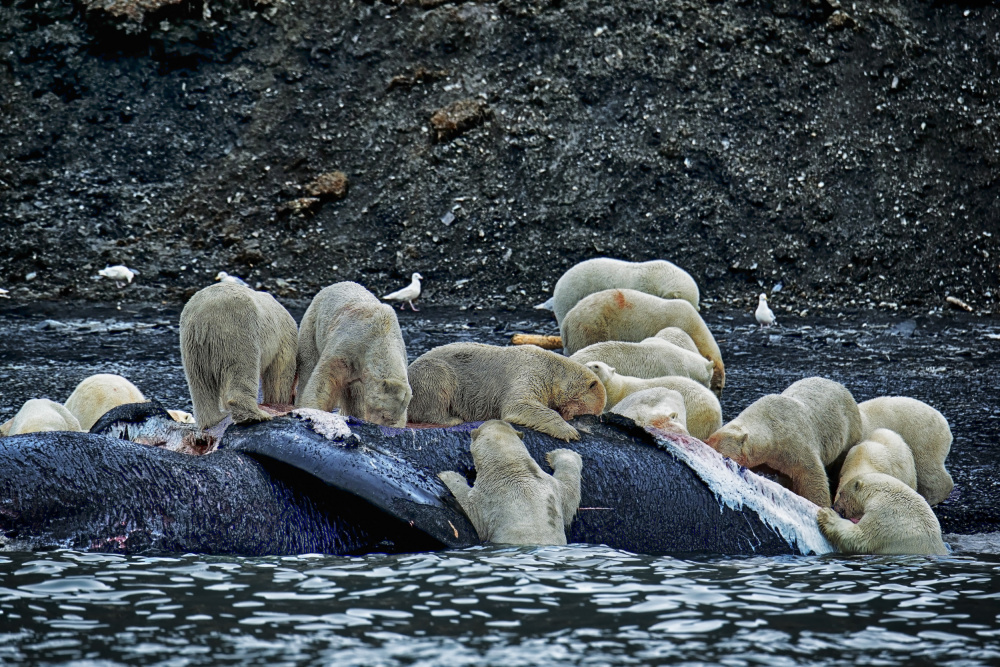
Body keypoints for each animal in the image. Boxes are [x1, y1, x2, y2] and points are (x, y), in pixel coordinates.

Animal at [179, 282, 298, 429]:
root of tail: (204, 316)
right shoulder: (285, 339)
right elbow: (280, 375)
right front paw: (279, 403)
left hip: (192, 344)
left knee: (200, 380)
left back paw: (214, 419)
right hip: (238, 329)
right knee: (244, 367)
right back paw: (255, 416)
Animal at [296, 282, 411, 427]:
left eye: (393, 420)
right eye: (383, 414)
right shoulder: (351, 343)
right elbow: (326, 378)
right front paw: (313, 409)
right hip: (313, 325)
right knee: (308, 364)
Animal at [407, 342, 606, 441]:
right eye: (591, 411)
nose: (571, 418)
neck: (553, 369)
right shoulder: (531, 371)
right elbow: (519, 404)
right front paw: (570, 432)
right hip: (428, 374)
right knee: (437, 378)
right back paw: (451, 418)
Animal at [437, 419, 583, 545]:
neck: (512, 467)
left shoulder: (488, 498)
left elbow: (470, 508)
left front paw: (447, 475)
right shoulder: (550, 487)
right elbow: (570, 495)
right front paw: (564, 452)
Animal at [817, 472, 948, 555]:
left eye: (840, 493)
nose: (834, 506)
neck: (878, 492)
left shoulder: (885, 514)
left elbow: (861, 539)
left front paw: (827, 514)